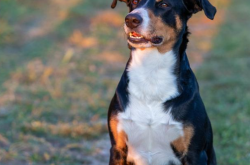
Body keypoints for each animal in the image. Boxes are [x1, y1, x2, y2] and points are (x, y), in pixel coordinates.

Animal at [107, 0, 217, 164]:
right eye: (134, 2)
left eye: (164, 4)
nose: (131, 19)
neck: (151, 73)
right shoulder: (117, 148)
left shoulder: (195, 153)